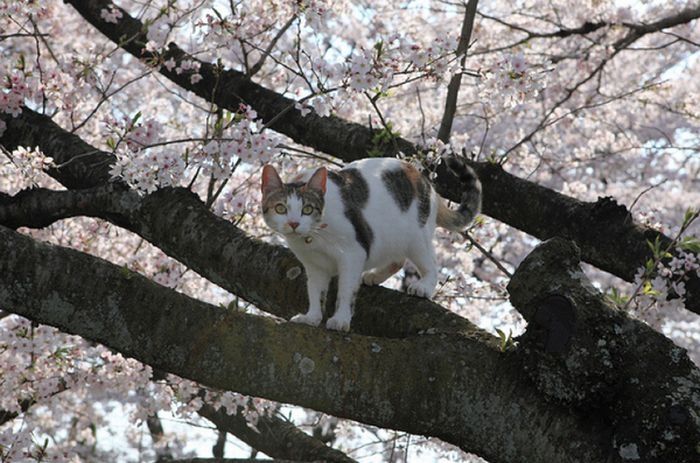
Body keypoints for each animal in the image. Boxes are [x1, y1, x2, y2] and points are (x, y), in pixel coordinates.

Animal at [262, 158, 482, 332]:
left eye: (307, 209)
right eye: (280, 208)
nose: (293, 223)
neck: (313, 237)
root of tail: (426, 181)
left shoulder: (353, 254)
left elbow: (345, 290)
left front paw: (340, 319)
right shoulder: (314, 266)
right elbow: (316, 292)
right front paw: (312, 317)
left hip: (416, 238)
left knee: (430, 263)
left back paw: (424, 286)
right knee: (398, 259)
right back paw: (374, 276)